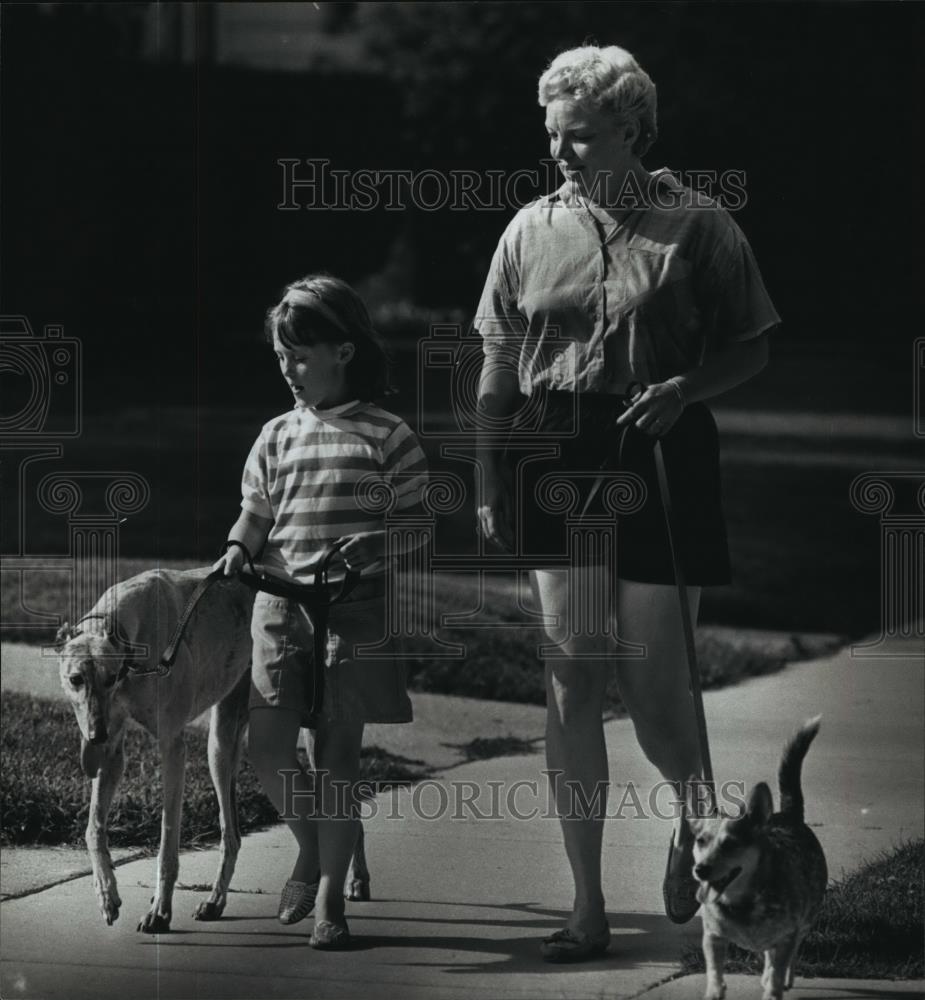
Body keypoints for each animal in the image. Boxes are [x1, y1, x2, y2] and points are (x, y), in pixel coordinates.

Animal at [56, 568, 368, 932]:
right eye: (76, 679)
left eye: (111, 677)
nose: (96, 735)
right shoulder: (112, 752)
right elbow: (93, 828)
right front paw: (107, 896)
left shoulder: (172, 746)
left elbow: (167, 841)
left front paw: (160, 911)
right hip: (221, 742)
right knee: (232, 834)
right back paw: (216, 901)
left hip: (306, 731)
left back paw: (356, 880)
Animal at [684, 720, 832, 1000]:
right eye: (700, 841)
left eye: (730, 844)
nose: (701, 869)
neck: (740, 902)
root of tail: (788, 814)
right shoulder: (713, 937)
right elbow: (714, 971)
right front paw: (714, 991)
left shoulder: (787, 936)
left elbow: (778, 969)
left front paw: (774, 987)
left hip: (806, 921)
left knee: (788, 955)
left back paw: (784, 976)